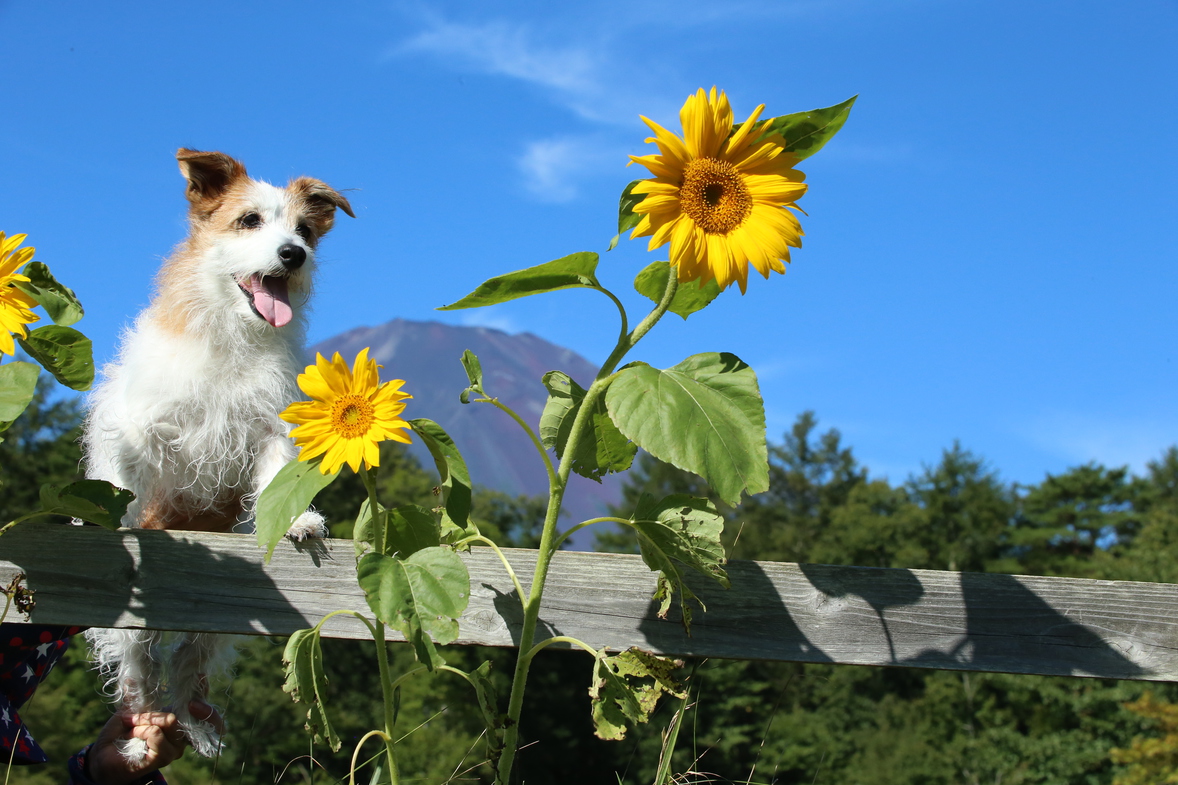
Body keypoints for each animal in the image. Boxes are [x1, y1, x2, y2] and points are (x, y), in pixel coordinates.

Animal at [82, 148, 351, 759]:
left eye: (304, 230)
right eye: (249, 221)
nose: (293, 254)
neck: (234, 331)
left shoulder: (269, 427)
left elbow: (277, 478)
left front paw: (299, 520)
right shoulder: (140, 426)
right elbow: (127, 479)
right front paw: (119, 520)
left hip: (214, 629)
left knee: (184, 674)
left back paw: (194, 726)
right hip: (130, 635)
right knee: (139, 679)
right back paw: (138, 741)